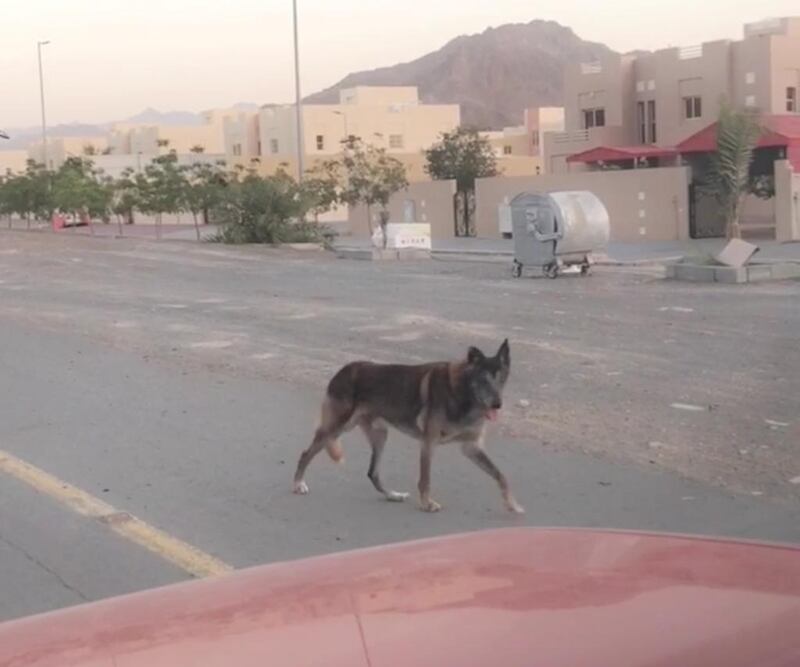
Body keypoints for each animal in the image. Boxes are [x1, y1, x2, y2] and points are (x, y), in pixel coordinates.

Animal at [294, 342, 524, 516]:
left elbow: (501, 476)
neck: (463, 393)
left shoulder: (471, 447)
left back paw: (393, 495)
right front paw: (427, 504)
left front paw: (512, 504)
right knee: (305, 454)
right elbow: (425, 479)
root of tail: (343, 370)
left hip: (380, 435)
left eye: (501, 379)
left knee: (372, 473)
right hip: (335, 428)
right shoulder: (429, 443)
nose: (497, 404)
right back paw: (298, 484)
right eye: (483, 380)